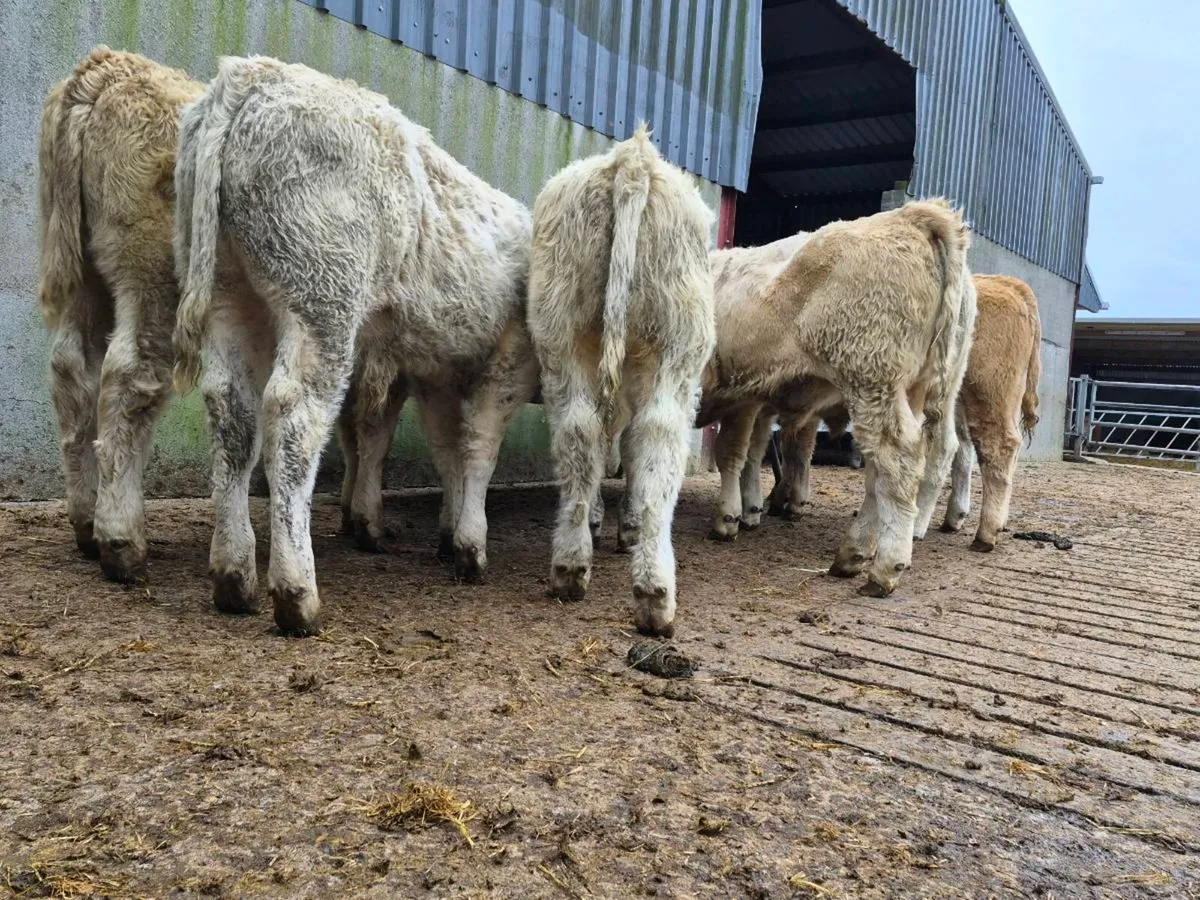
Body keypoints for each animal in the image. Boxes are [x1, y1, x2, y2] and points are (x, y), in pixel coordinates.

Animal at [36, 47, 204, 584]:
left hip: (81, 269)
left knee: (73, 369)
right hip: (153, 274)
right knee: (130, 372)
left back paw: (86, 522)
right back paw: (121, 540)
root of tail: (104, 72)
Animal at [173, 56, 538, 635]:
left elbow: (447, 449)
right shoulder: (509, 358)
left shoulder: (436, 373)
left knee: (232, 412)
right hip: (323, 295)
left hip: (230, 296)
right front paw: (470, 550)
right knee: (293, 418)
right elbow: (478, 448)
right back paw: (296, 592)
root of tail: (252, 77)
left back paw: (233, 577)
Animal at [527, 127, 715, 637]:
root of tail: (632, 158)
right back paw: (655, 589)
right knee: (658, 440)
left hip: (560, 327)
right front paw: (624, 523)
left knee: (579, 432)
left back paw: (571, 564)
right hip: (680, 338)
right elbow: (631, 451)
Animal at [696, 201, 976, 597]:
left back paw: (886, 566)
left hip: (871, 379)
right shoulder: (747, 399)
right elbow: (745, 452)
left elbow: (728, 454)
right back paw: (856, 552)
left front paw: (729, 518)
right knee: (896, 464)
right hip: (917, 390)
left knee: (899, 460)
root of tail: (910, 215)